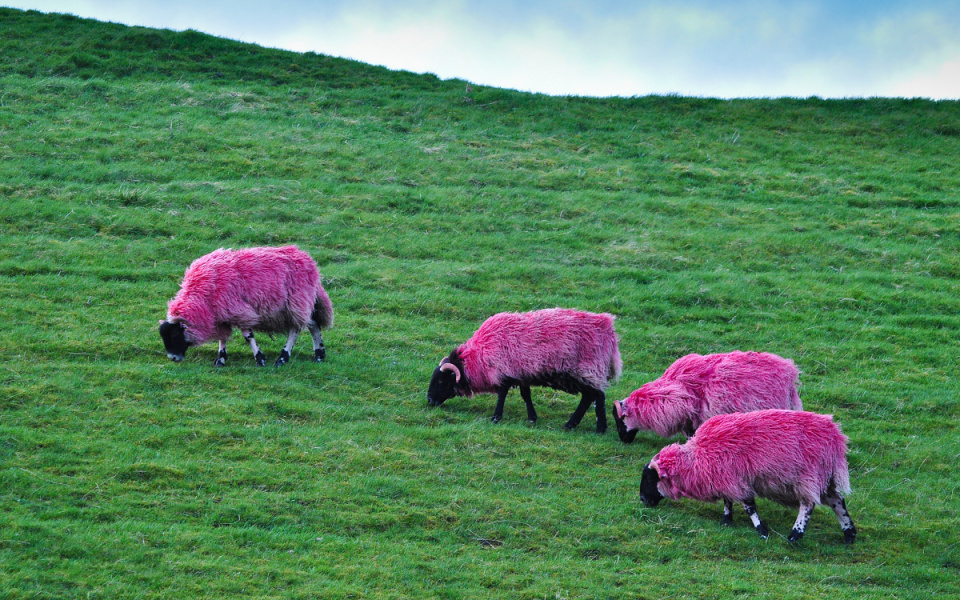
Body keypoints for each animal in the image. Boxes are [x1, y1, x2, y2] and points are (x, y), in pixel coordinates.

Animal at [158, 245, 334, 367]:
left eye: (175, 335)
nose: (173, 358)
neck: (200, 293)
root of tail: (308, 260)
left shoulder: (239, 311)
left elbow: (248, 336)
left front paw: (260, 359)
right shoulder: (222, 316)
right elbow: (222, 337)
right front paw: (220, 359)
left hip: (296, 302)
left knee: (296, 329)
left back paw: (283, 358)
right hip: (300, 303)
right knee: (313, 324)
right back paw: (319, 354)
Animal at [426, 308, 622, 433]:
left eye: (441, 381)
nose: (429, 401)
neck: (479, 355)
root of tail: (608, 329)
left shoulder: (504, 371)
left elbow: (502, 394)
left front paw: (496, 418)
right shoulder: (521, 373)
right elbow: (525, 395)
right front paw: (532, 418)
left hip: (587, 369)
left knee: (596, 396)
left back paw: (596, 428)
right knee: (591, 396)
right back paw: (575, 425)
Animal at [639, 409, 856, 544]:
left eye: (650, 479)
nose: (642, 499)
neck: (697, 457)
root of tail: (835, 436)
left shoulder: (737, 480)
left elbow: (748, 506)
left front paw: (762, 531)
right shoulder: (725, 479)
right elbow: (728, 501)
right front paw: (726, 520)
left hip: (807, 476)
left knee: (808, 504)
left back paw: (795, 535)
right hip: (825, 478)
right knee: (838, 501)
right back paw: (849, 534)